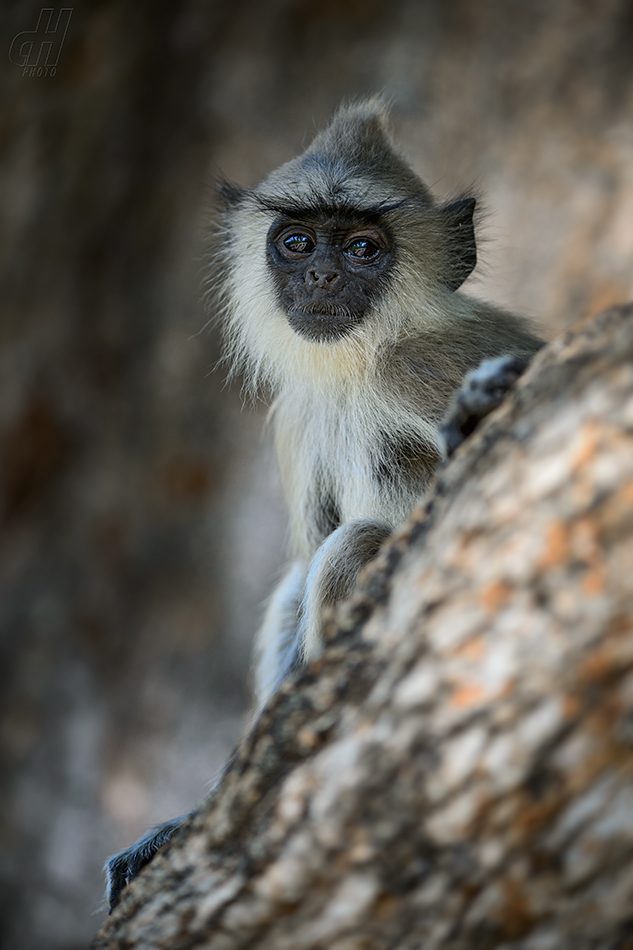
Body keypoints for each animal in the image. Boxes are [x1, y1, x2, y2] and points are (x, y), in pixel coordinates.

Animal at [103, 100, 544, 912]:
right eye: (297, 241)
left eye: (364, 248)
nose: (321, 273)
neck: (358, 366)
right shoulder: (297, 417)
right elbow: (303, 563)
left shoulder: (424, 365)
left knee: (351, 548)